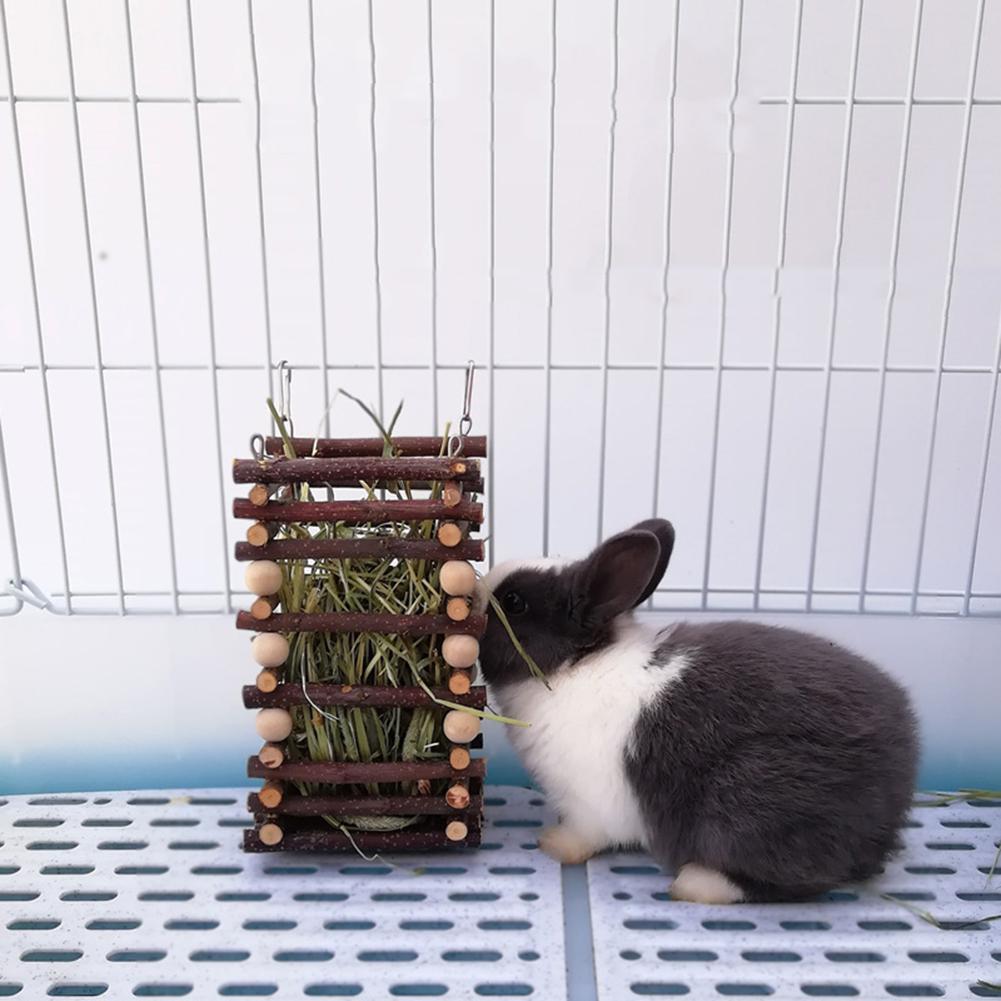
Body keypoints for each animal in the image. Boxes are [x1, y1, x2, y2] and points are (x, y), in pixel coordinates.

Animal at [475, 519, 919, 903]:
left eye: (513, 602)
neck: (574, 668)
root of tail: (894, 793)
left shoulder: (589, 805)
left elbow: (585, 836)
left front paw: (553, 844)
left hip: (751, 802)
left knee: (798, 875)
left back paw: (696, 883)